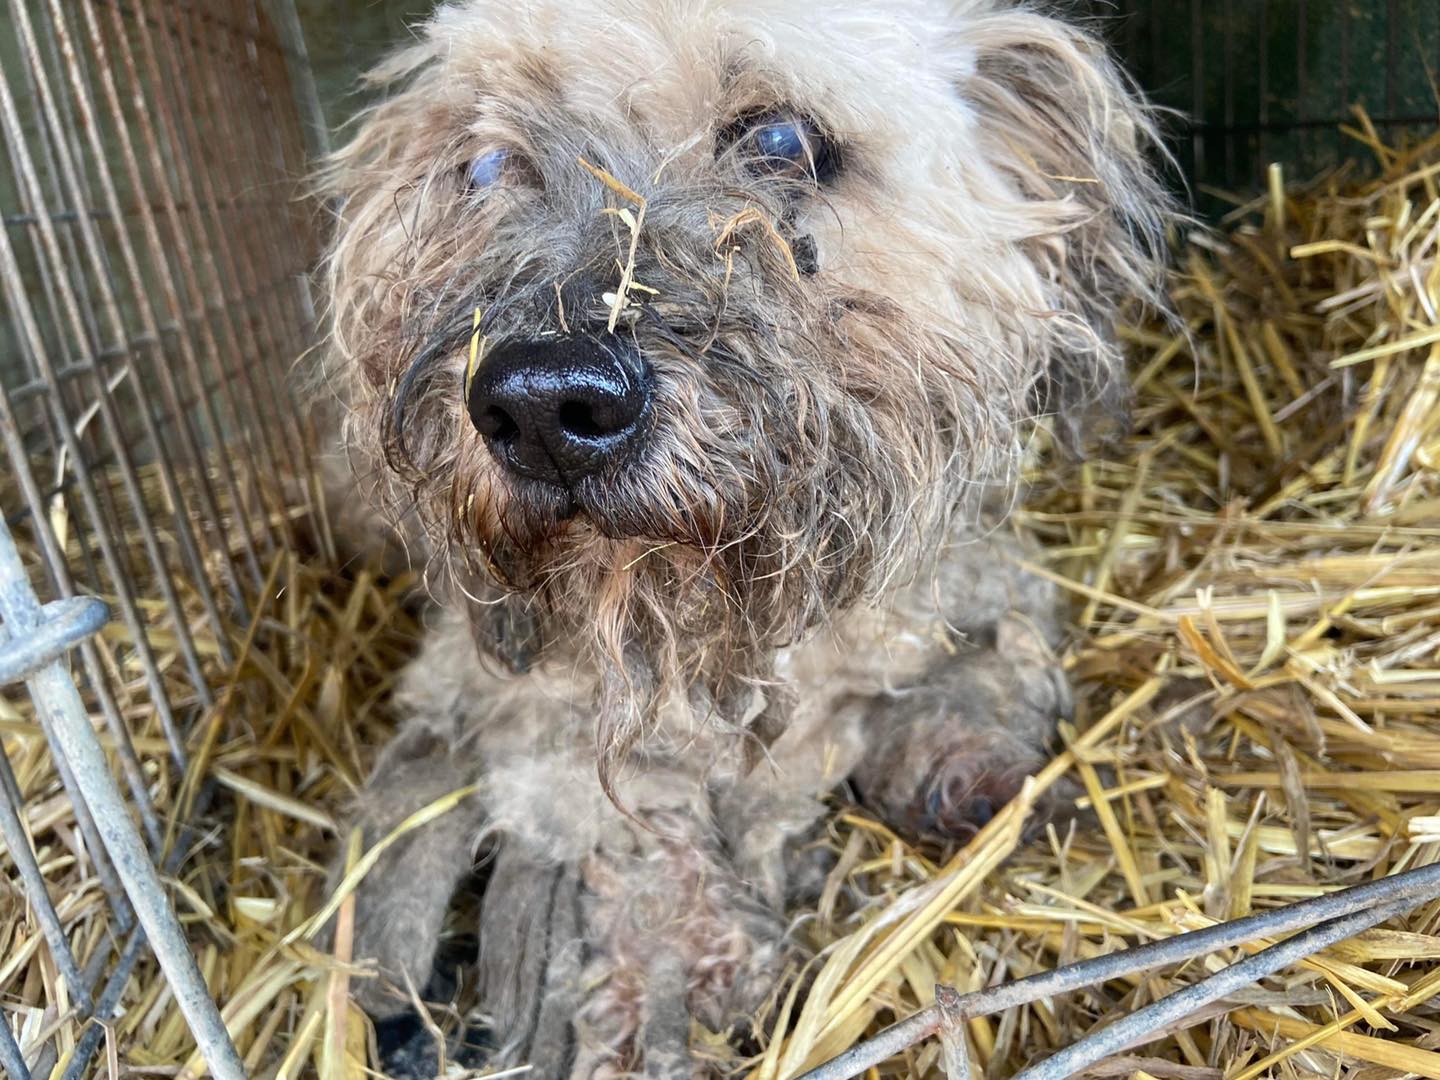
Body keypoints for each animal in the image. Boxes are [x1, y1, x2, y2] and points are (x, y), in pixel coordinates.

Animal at [318, 2, 1169, 1077]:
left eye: (783, 140)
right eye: (489, 162)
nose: (544, 403)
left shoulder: (971, 572)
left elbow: (990, 647)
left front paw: (965, 762)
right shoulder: (517, 699)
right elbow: (622, 816)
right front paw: (668, 969)